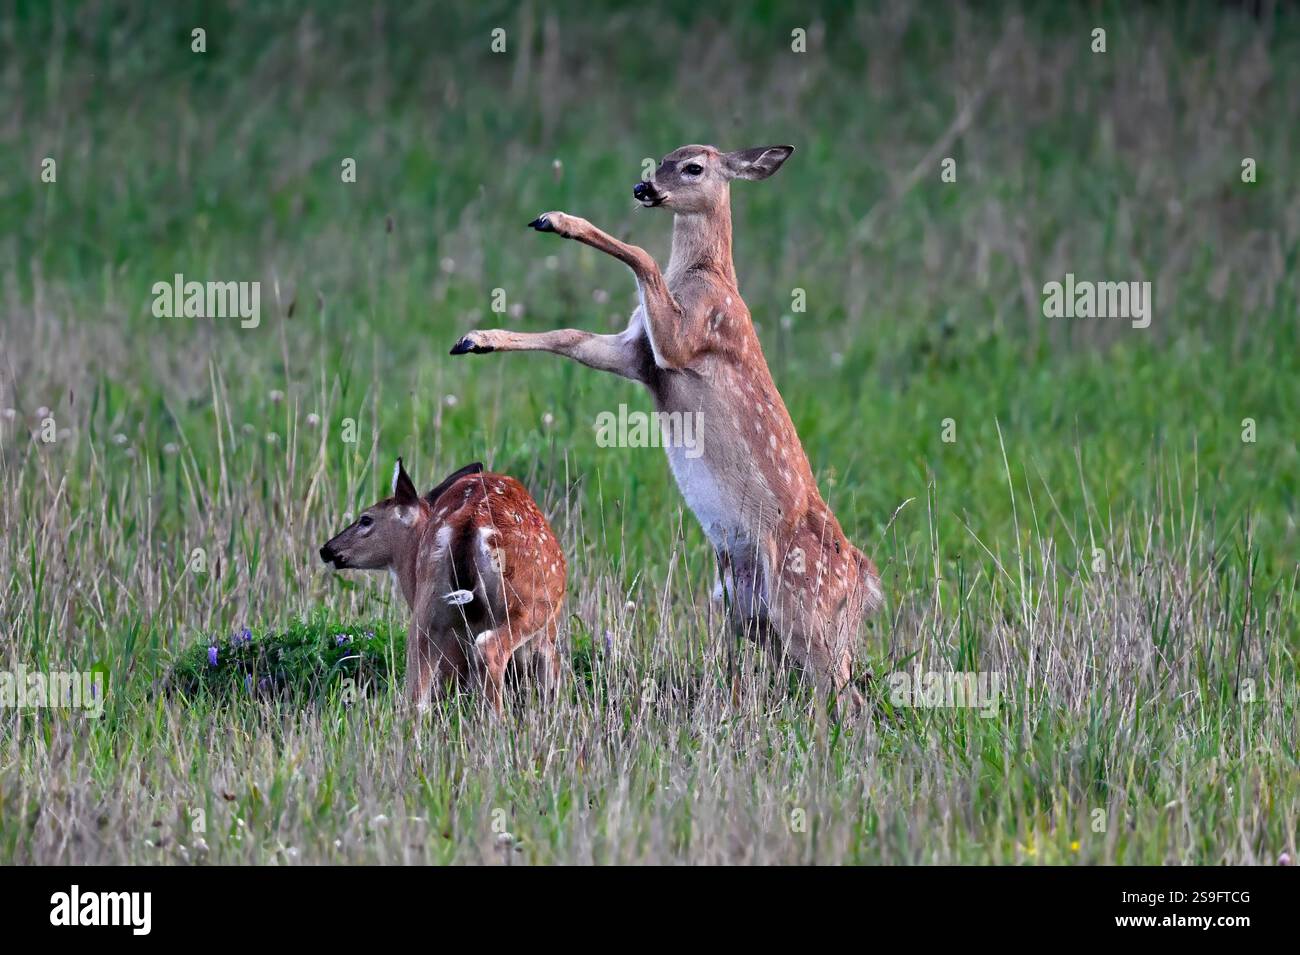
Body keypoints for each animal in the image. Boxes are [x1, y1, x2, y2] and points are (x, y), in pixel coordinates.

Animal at [319, 459, 566, 714]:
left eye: (365, 519)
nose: (327, 549)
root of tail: (470, 518)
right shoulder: (546, 638)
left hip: (430, 610)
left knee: (417, 695)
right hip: (528, 604)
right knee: (490, 650)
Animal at [450, 144, 883, 705]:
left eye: (693, 167)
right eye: (660, 160)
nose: (643, 189)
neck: (705, 277)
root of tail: (865, 582)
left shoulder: (687, 337)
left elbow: (644, 257)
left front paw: (556, 220)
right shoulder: (637, 353)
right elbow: (569, 336)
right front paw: (475, 339)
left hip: (805, 603)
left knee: (843, 688)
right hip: (748, 608)